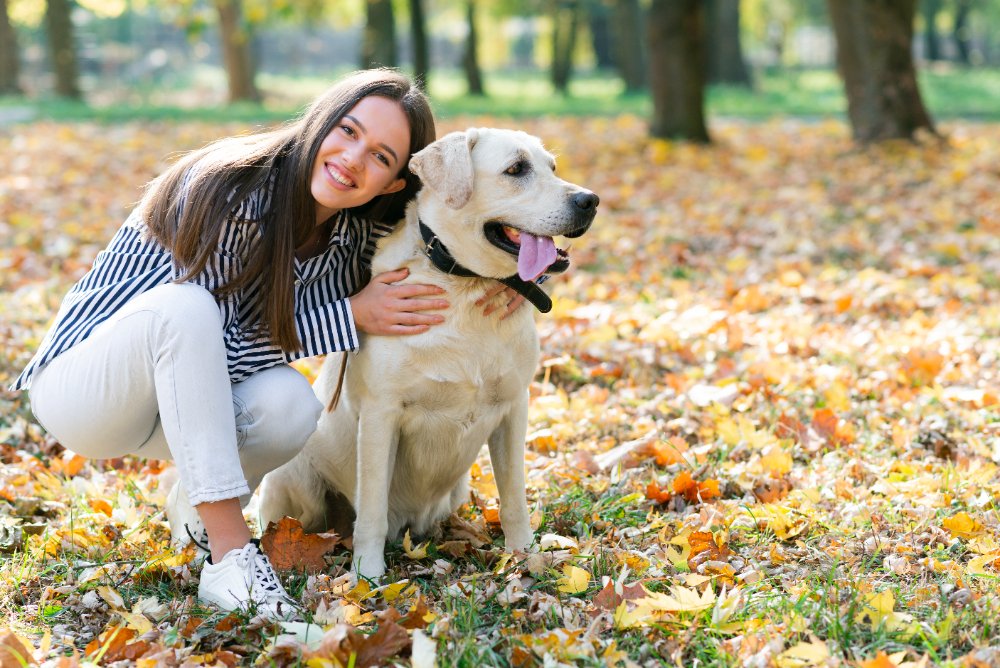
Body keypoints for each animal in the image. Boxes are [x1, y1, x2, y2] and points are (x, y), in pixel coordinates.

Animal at [262, 130, 596, 580]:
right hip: (294, 480)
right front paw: (367, 577)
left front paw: (526, 557)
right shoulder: (381, 413)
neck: (463, 287)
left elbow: (514, 498)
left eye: (552, 167)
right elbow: (371, 509)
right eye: (516, 169)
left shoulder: (514, 408)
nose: (590, 201)